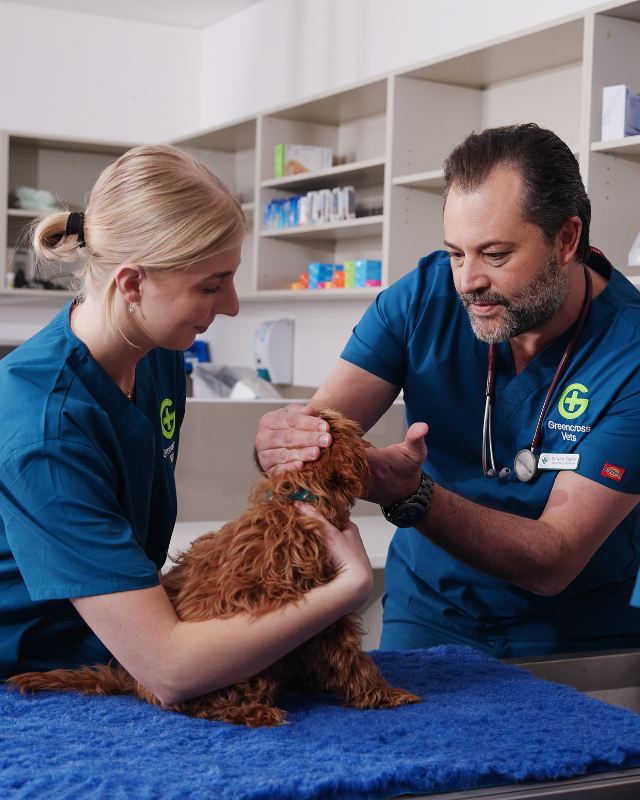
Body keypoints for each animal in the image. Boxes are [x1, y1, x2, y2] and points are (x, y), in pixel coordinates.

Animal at [10, 410, 422, 728]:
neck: (299, 496)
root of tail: (136, 683)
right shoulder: (328, 612)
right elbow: (351, 659)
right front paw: (385, 694)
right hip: (242, 670)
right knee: (201, 706)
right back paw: (255, 713)